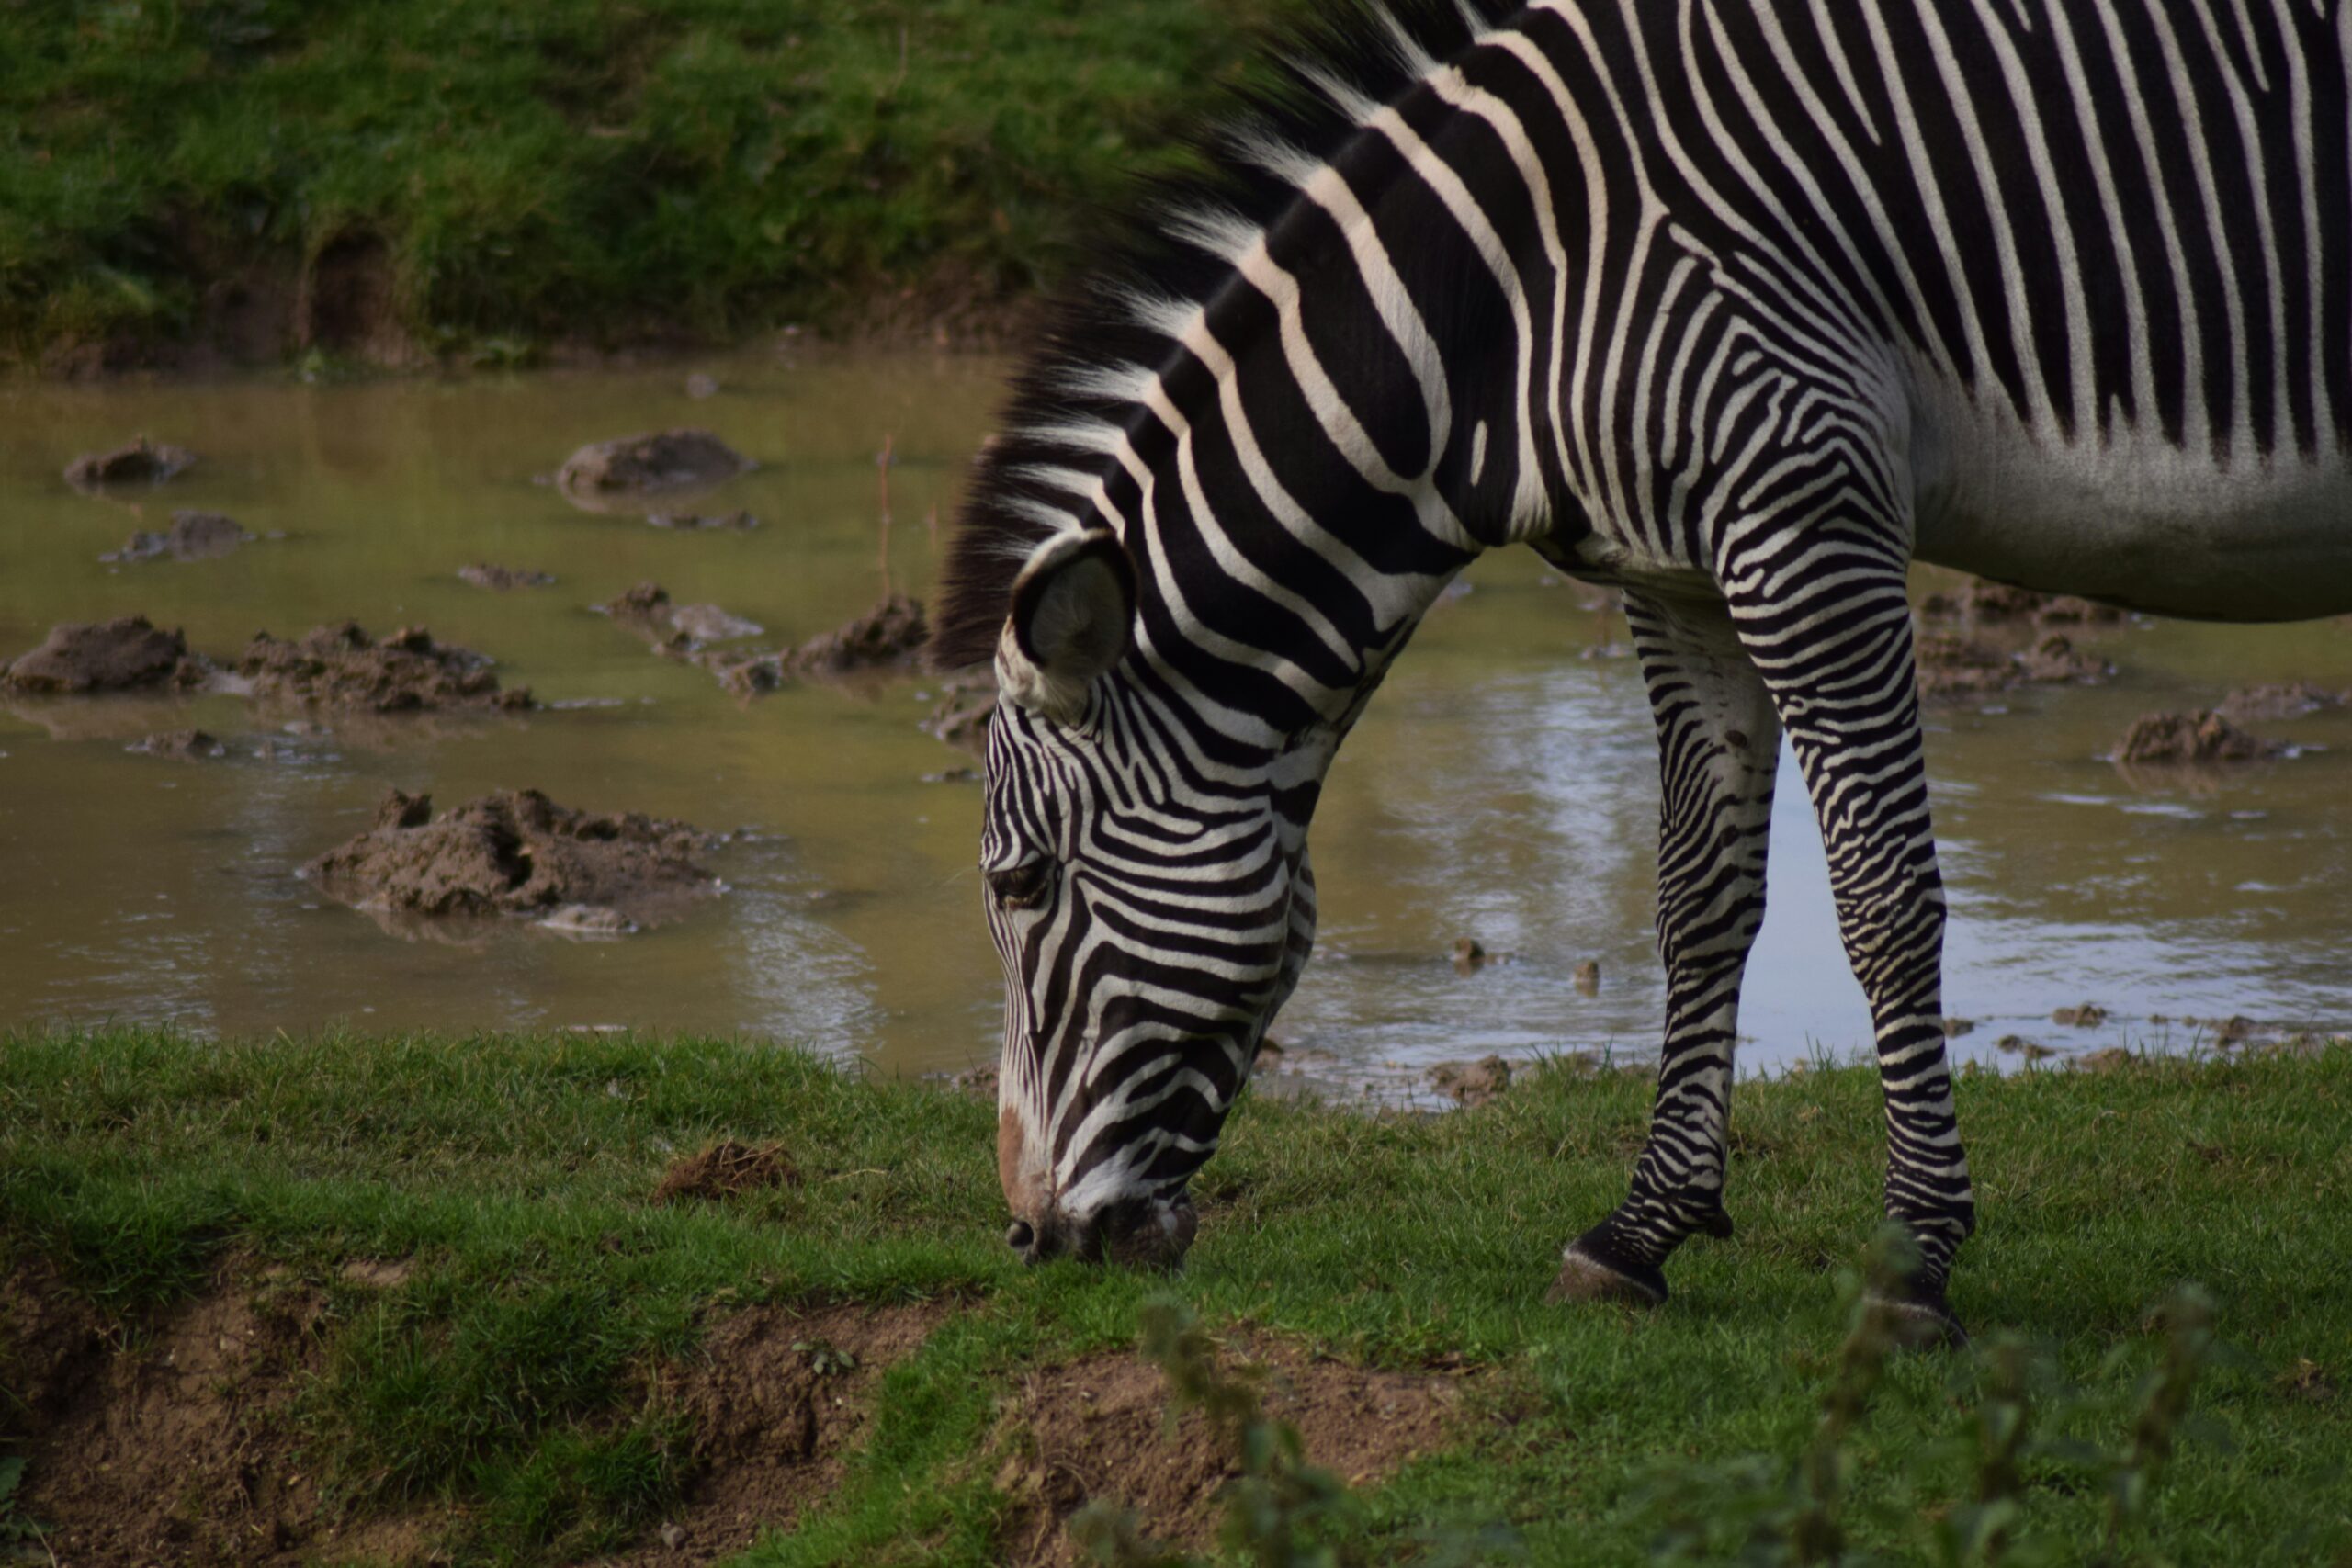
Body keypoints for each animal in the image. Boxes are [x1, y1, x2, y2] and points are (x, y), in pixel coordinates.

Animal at [926, 0, 2342, 1335]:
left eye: (1019, 881)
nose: (1026, 1235)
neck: (1507, 311)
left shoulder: (1809, 516)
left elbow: (1883, 899)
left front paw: (1916, 1258)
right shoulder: (1681, 572)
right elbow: (1699, 898)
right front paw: (1638, 1232)